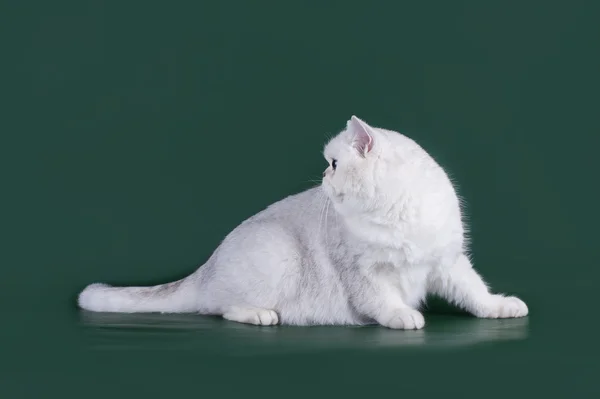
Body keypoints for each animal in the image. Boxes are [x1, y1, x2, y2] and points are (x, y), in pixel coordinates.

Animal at [78, 116, 528, 332]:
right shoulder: (363, 272)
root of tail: (207, 266)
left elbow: (475, 292)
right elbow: (383, 300)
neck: (395, 213)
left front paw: (500, 307)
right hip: (278, 256)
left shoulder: (448, 262)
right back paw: (261, 315)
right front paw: (403, 316)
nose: (324, 176)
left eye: (334, 164)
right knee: (219, 308)